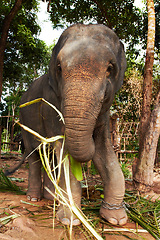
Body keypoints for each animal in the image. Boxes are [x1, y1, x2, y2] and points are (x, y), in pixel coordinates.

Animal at [19, 24, 127, 227]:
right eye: (59, 68)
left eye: (110, 68)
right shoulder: (51, 104)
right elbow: (64, 152)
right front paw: (70, 220)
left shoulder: (104, 114)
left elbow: (104, 152)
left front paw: (117, 219)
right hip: (24, 122)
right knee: (35, 155)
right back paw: (33, 198)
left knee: (50, 157)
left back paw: (52, 198)